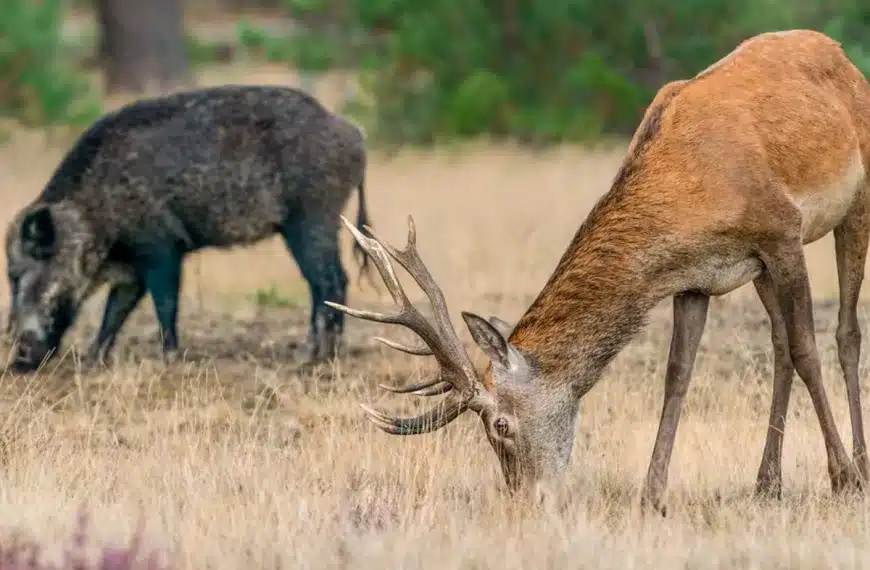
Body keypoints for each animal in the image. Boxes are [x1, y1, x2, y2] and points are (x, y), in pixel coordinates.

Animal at [327, 29, 870, 514]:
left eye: (500, 425)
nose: (527, 502)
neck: (693, 197)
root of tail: (843, 57)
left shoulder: (782, 234)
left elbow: (807, 350)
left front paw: (840, 477)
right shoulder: (699, 278)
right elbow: (678, 374)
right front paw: (652, 495)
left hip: (854, 205)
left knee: (844, 332)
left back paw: (858, 468)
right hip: (761, 272)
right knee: (777, 346)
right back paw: (767, 483)